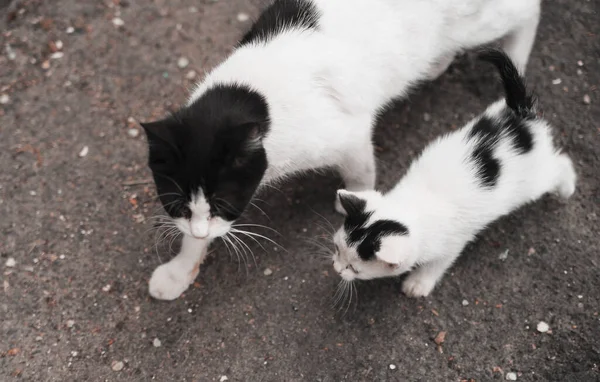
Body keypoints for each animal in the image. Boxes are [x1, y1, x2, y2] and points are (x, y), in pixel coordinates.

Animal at [143, 0, 540, 300]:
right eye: (176, 205)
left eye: (224, 202)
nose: (199, 231)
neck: (250, 96)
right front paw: (180, 268)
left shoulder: (350, 134)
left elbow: (361, 172)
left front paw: (357, 204)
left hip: (480, 22)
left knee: (527, 12)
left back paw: (516, 61)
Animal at [332, 50, 576, 300]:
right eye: (337, 249)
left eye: (354, 269)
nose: (337, 268)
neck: (411, 206)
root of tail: (520, 114)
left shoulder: (451, 245)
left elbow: (436, 265)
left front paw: (418, 283)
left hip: (533, 181)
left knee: (560, 164)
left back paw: (567, 188)